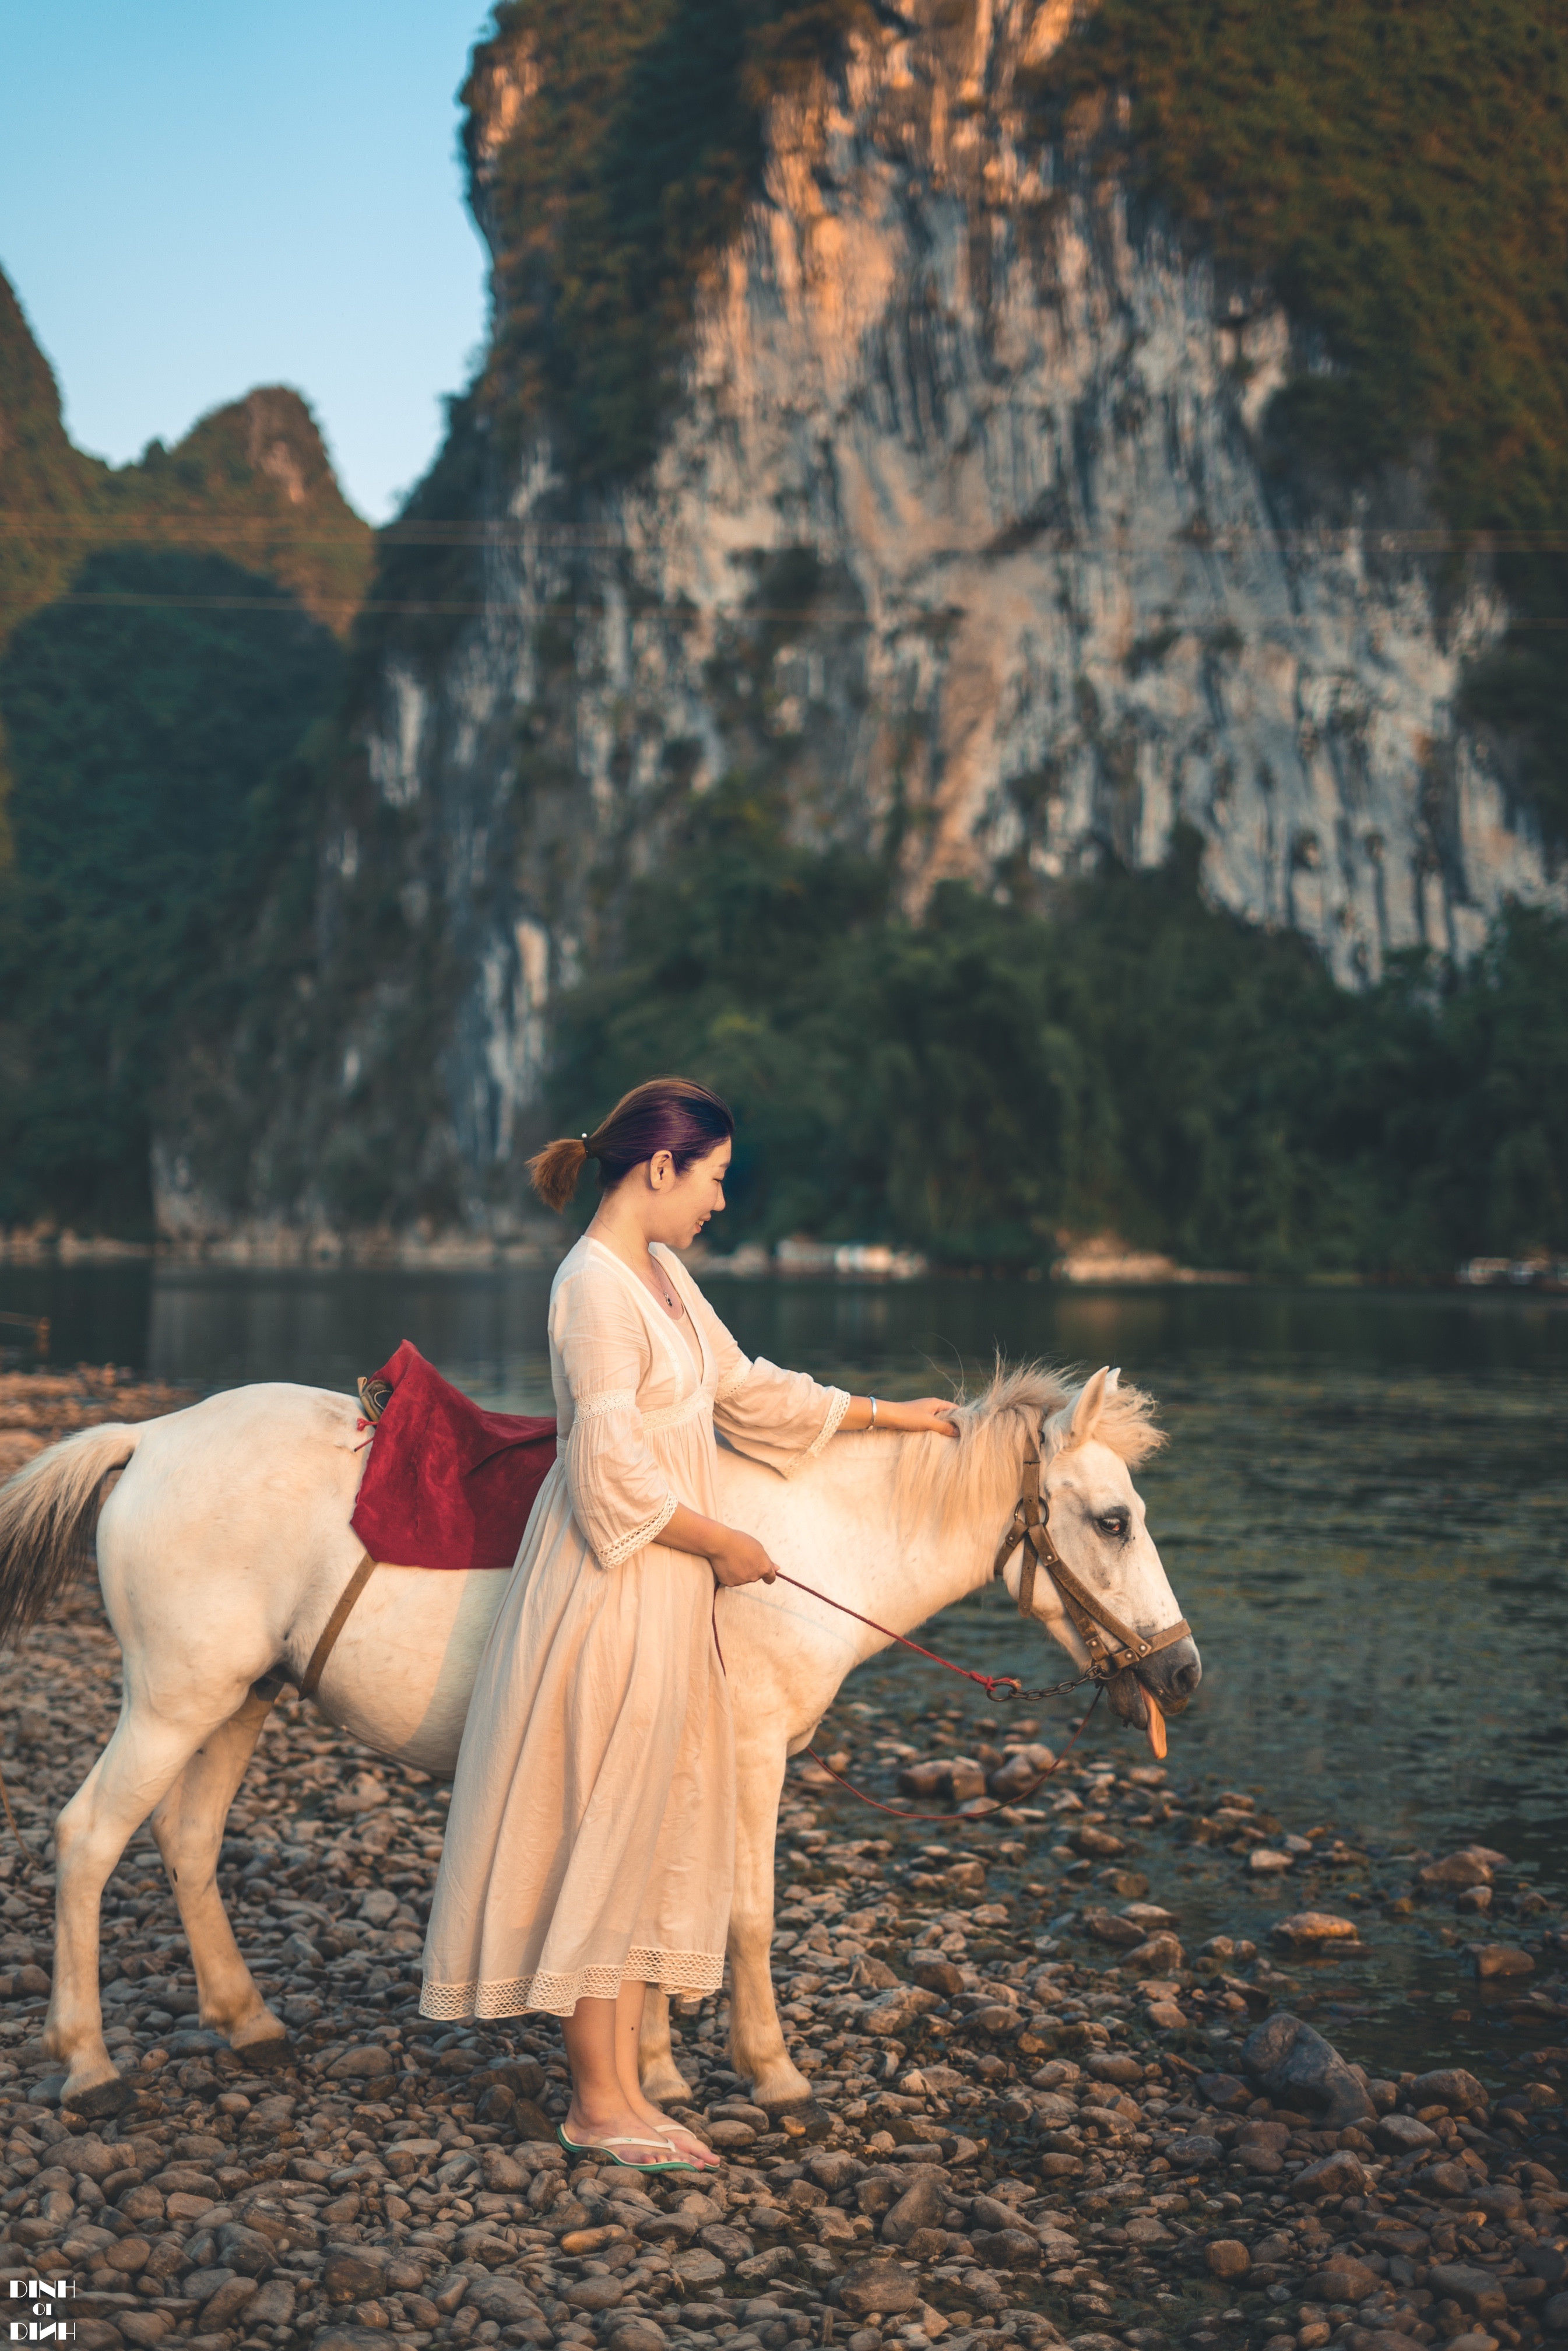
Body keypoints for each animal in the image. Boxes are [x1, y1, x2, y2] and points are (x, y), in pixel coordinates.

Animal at [0, 1363, 1203, 2115]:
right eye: (1112, 1520)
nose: (1183, 1672)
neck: (807, 1542)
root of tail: (150, 1437)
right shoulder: (753, 1753)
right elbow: (745, 1915)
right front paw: (772, 2074)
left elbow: (662, 1909)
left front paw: (662, 2075)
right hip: (174, 1701)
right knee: (89, 1840)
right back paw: (90, 2063)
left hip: (238, 1699)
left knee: (189, 1842)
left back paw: (247, 2021)